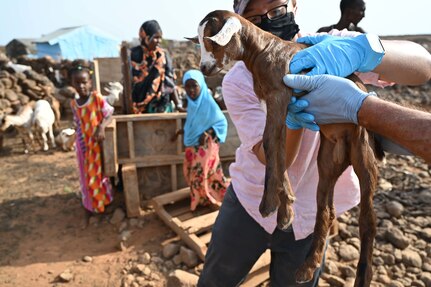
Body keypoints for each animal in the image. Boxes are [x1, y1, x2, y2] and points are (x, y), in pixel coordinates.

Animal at [191, 9, 384, 287]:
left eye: (212, 41)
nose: (204, 68)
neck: (263, 50)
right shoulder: (278, 104)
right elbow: (276, 148)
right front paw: (285, 209)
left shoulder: (279, 94)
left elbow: (270, 143)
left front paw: (268, 204)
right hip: (328, 160)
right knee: (326, 210)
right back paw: (307, 267)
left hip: (362, 150)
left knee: (368, 219)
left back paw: (362, 276)